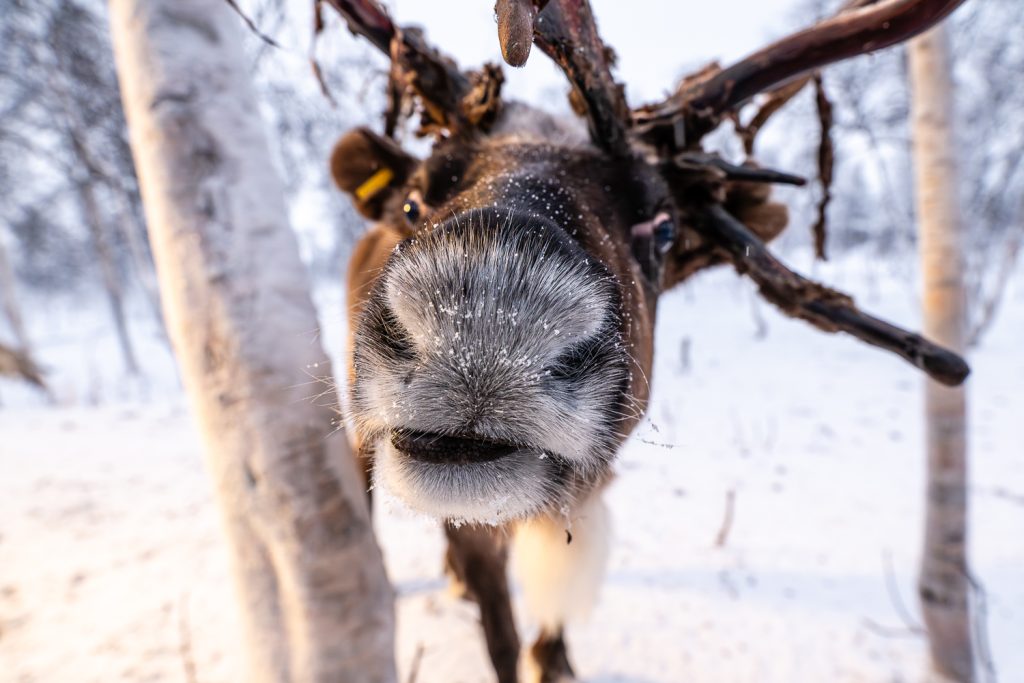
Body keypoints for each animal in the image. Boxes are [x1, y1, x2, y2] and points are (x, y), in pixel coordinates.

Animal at [320, 1, 970, 681]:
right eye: (413, 201)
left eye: (663, 228)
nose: (487, 308)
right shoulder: (474, 529)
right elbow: (502, 640)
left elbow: (549, 637)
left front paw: (553, 656)